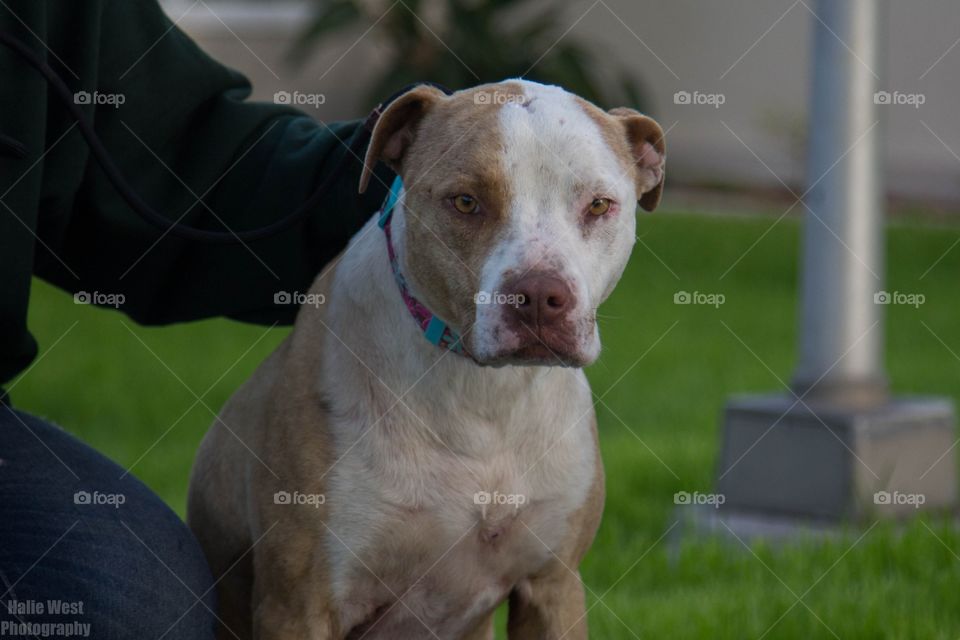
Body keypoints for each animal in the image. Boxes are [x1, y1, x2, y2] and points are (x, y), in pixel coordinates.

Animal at [188, 80, 668, 640]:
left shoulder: (553, 586)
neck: (483, 397)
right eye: (465, 202)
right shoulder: (299, 603)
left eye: (598, 205)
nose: (538, 296)